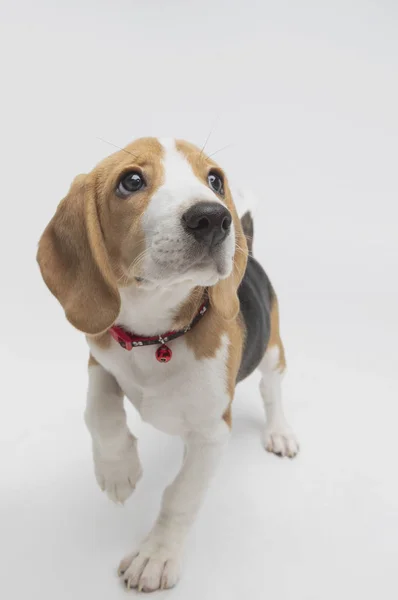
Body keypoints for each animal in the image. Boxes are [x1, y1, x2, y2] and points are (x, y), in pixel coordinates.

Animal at [36, 136, 298, 592]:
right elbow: (98, 410)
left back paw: (279, 431)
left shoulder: (213, 431)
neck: (155, 335)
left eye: (214, 180)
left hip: (272, 350)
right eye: (131, 181)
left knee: (272, 389)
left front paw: (155, 556)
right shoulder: (100, 357)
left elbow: (181, 495)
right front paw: (118, 471)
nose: (213, 216)